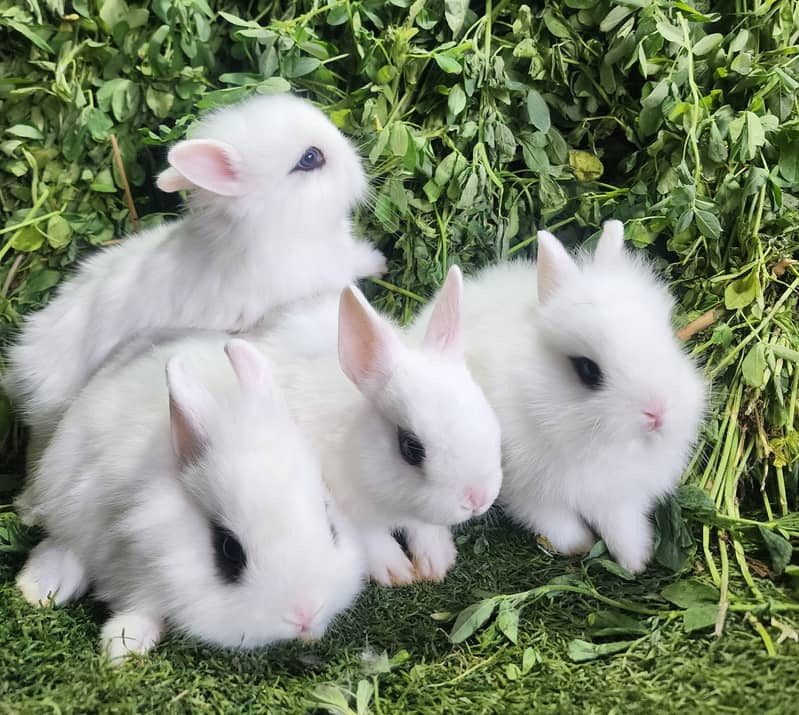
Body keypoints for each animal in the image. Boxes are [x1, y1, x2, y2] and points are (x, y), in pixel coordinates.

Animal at [15, 337, 365, 663]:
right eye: (229, 550)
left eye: (332, 528)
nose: (304, 615)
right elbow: (141, 605)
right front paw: (122, 648)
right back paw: (39, 587)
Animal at [252, 266, 504, 585]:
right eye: (411, 448)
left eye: (486, 410)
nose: (477, 499)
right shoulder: (346, 507)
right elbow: (371, 538)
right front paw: (397, 572)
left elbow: (424, 528)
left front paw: (435, 563)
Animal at [410, 221, 707, 574]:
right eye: (588, 370)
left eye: (667, 339)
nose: (658, 413)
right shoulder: (530, 494)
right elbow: (558, 524)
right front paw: (582, 545)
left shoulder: (618, 494)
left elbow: (621, 524)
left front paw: (635, 560)